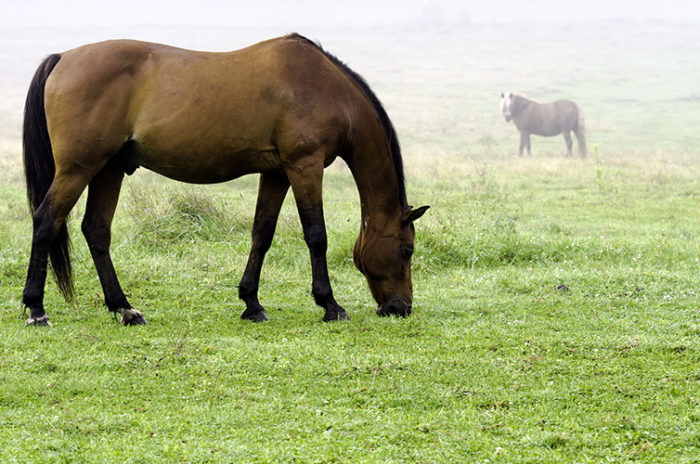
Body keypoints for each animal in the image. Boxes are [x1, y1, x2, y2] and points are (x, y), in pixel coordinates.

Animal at [20, 34, 426, 326]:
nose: (400, 307)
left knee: (97, 231)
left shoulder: (276, 172)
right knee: (46, 221)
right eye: (407, 250)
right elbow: (316, 235)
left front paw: (251, 302)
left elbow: (262, 234)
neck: (327, 88)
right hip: (78, 169)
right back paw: (37, 309)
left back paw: (124, 308)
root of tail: (63, 57)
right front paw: (330, 304)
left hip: (108, 169)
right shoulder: (305, 166)